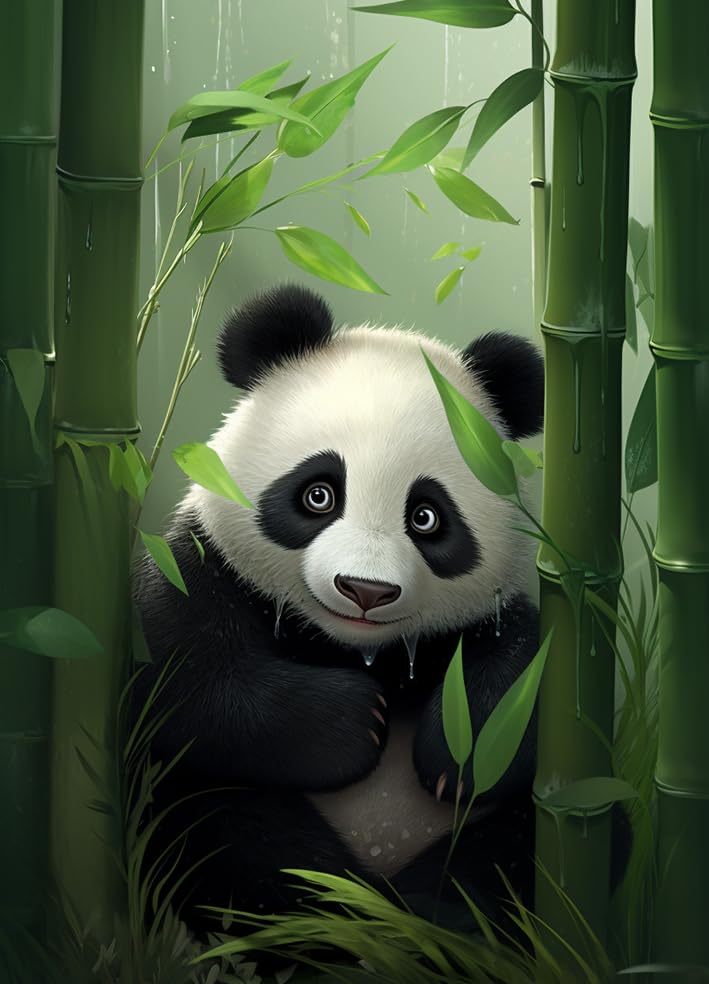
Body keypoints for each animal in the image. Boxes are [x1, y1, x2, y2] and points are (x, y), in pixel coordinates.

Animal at [131, 282, 549, 938]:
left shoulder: (484, 619)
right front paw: (356, 723)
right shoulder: (199, 569)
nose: (365, 590)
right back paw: (340, 923)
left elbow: (525, 679)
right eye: (319, 494)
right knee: (238, 840)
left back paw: (434, 919)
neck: (351, 647)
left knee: (508, 854)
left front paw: (457, 753)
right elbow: (187, 687)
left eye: (426, 516)